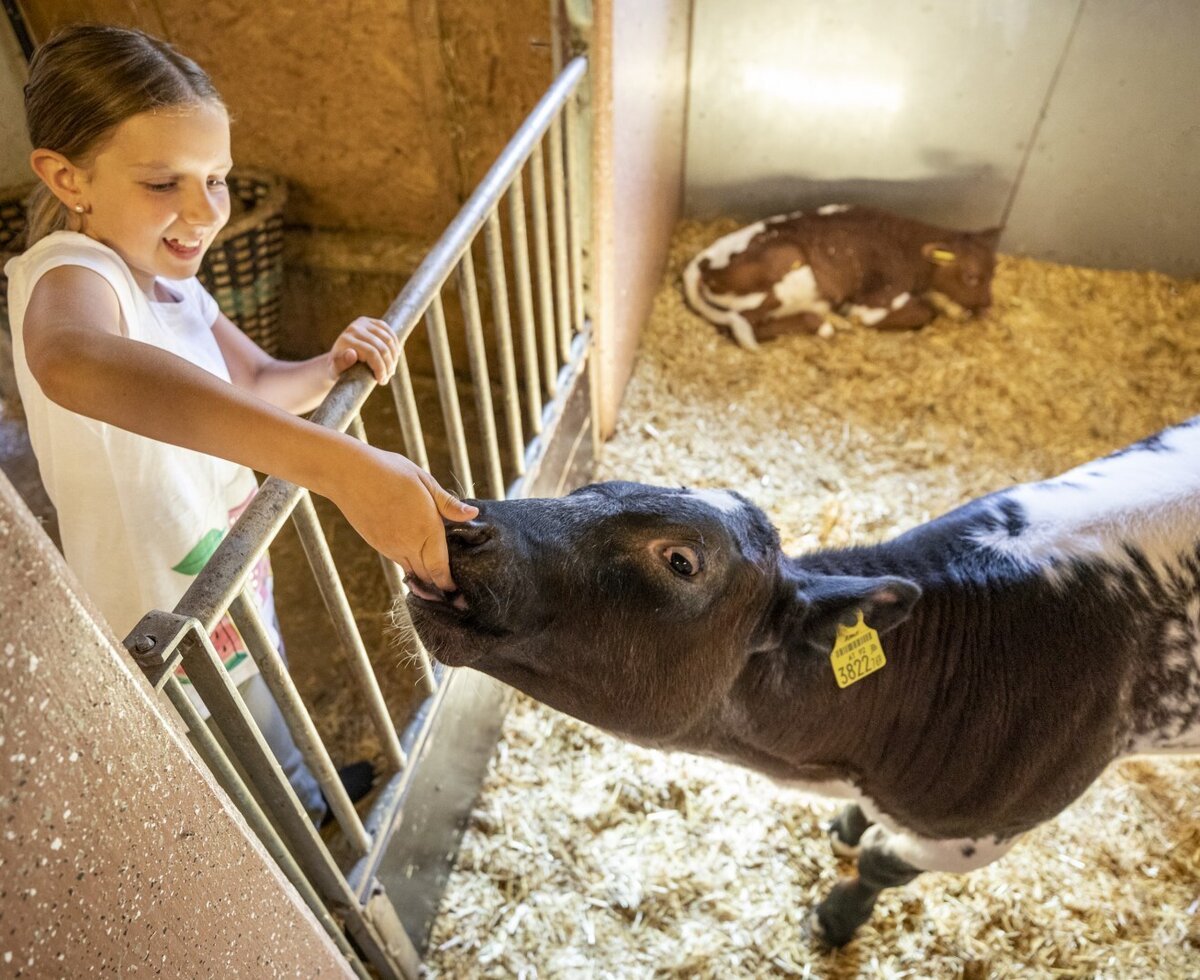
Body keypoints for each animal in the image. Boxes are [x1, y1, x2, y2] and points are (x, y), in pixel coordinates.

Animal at [403, 415, 1200, 947]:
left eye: (681, 561)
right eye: (587, 488)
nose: (458, 526)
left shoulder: (979, 834)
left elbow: (881, 863)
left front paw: (838, 916)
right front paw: (848, 825)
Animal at [682, 205, 1001, 350]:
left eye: (993, 271)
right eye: (971, 276)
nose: (987, 306)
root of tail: (703, 262)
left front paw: (956, 310)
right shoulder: (875, 300)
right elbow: (924, 313)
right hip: (783, 272)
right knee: (751, 326)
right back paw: (827, 324)